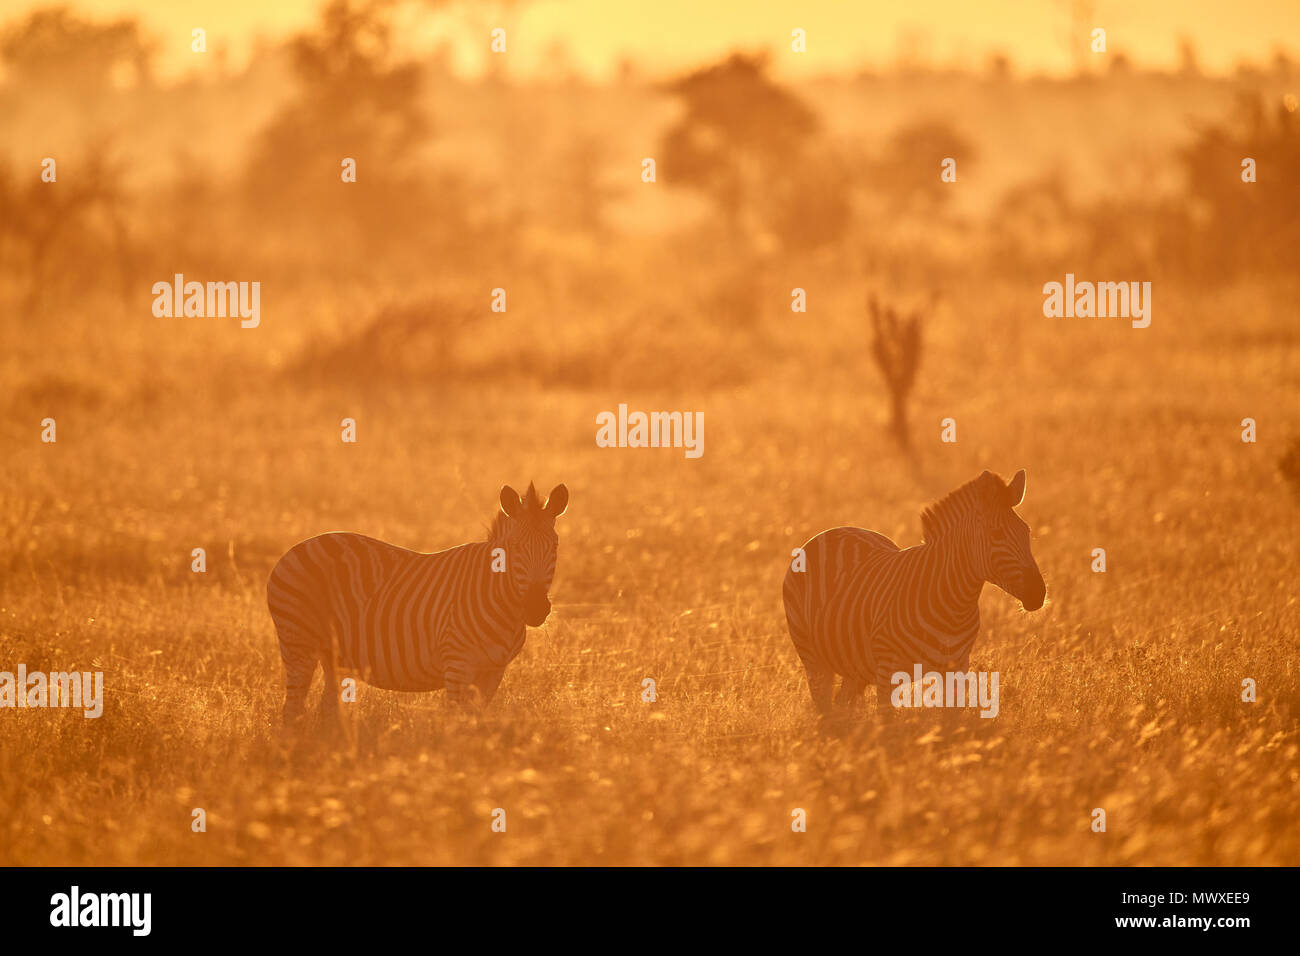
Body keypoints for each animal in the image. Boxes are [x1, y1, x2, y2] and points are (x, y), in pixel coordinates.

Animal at [266, 481, 566, 723]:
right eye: (514, 548)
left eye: (554, 546)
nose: (536, 609)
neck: (500, 598)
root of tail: (293, 550)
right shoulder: (456, 664)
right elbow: (455, 720)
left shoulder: (493, 671)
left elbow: (474, 720)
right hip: (298, 644)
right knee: (292, 710)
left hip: (333, 655)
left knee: (326, 711)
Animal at [780, 468, 1045, 712]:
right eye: (996, 534)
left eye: (1027, 531)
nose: (1039, 593)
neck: (953, 605)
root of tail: (836, 530)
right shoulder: (886, 671)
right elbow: (888, 726)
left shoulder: (957, 669)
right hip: (813, 658)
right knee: (825, 711)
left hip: (854, 665)